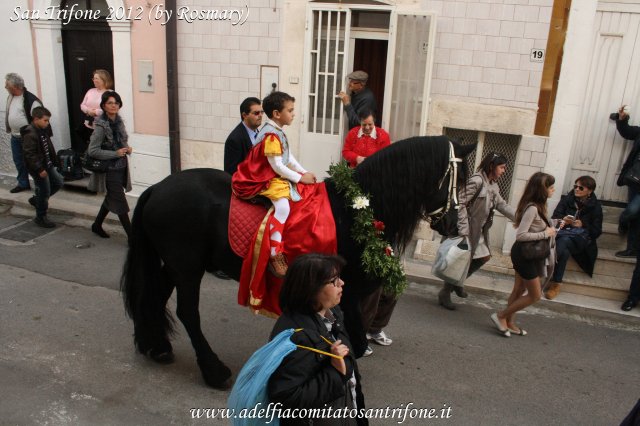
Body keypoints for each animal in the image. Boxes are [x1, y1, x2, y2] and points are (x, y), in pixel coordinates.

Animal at [121, 135, 476, 388]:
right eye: (457, 180)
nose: (454, 226)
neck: (355, 210)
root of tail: (156, 188)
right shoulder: (347, 292)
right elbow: (353, 342)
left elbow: (351, 340)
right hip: (187, 266)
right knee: (186, 312)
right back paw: (213, 370)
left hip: (173, 265)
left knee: (152, 297)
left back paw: (156, 346)